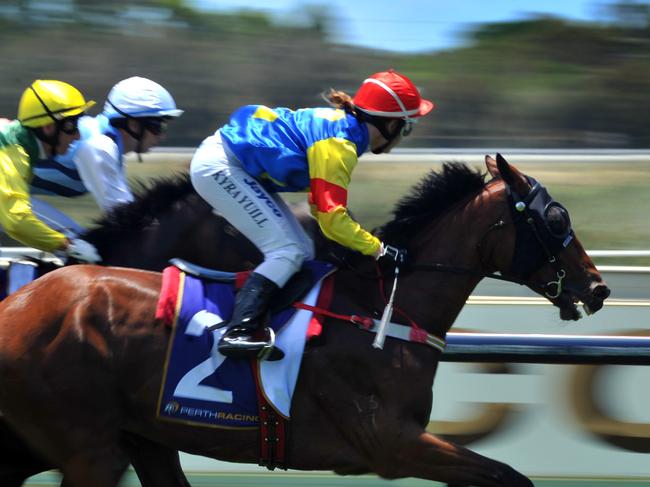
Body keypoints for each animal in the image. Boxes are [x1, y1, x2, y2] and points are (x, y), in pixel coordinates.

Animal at [0, 156, 608, 487]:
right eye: (557, 219)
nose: (597, 287)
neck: (383, 312)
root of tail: (16, 304)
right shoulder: (391, 443)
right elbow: (508, 475)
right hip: (90, 447)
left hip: (137, 438)